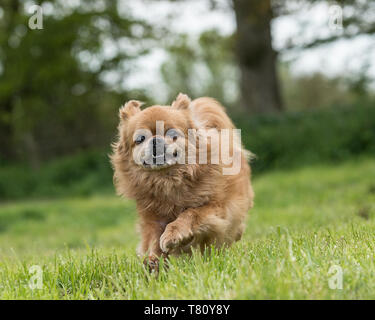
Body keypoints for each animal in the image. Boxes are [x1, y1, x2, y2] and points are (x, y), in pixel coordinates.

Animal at [110, 93, 254, 268]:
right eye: (140, 138)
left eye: (172, 135)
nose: (155, 140)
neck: (168, 179)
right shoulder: (154, 219)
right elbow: (154, 240)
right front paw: (154, 261)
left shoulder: (215, 207)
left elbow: (190, 214)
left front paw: (174, 234)